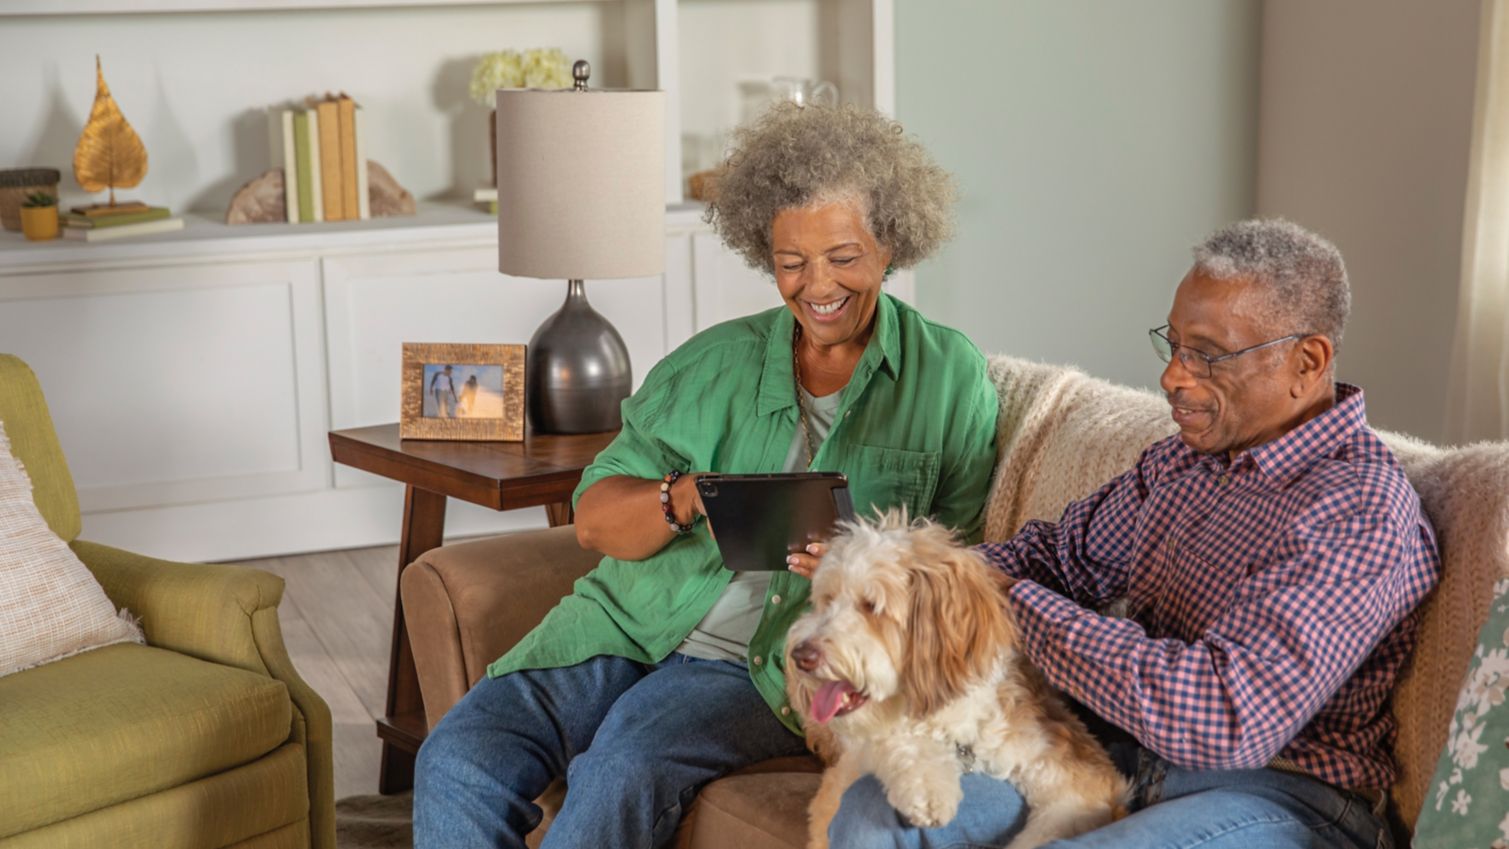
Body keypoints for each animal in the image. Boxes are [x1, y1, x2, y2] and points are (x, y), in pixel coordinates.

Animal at [784, 512, 1128, 849]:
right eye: (827, 599)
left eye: (871, 605)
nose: (800, 656)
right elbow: (893, 740)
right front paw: (926, 787)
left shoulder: (1075, 780)